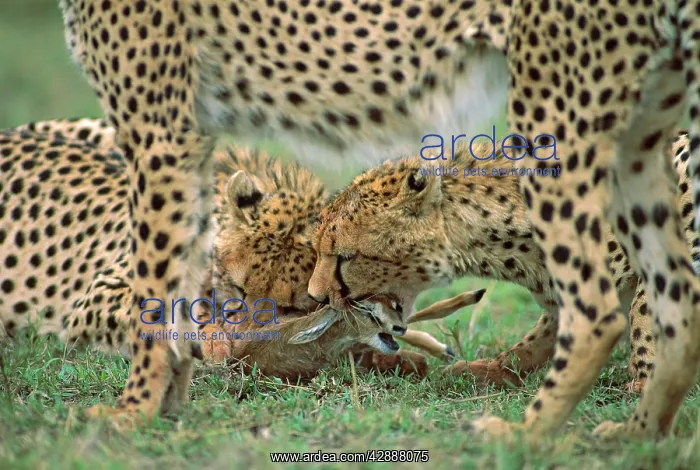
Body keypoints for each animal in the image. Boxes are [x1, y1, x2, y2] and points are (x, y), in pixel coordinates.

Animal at [57, 0, 700, 440]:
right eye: (237, 291)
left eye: (341, 256)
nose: (322, 298)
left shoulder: (163, 132)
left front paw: (133, 412)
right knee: (675, 301)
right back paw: (635, 434)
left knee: (604, 311)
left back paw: (528, 434)